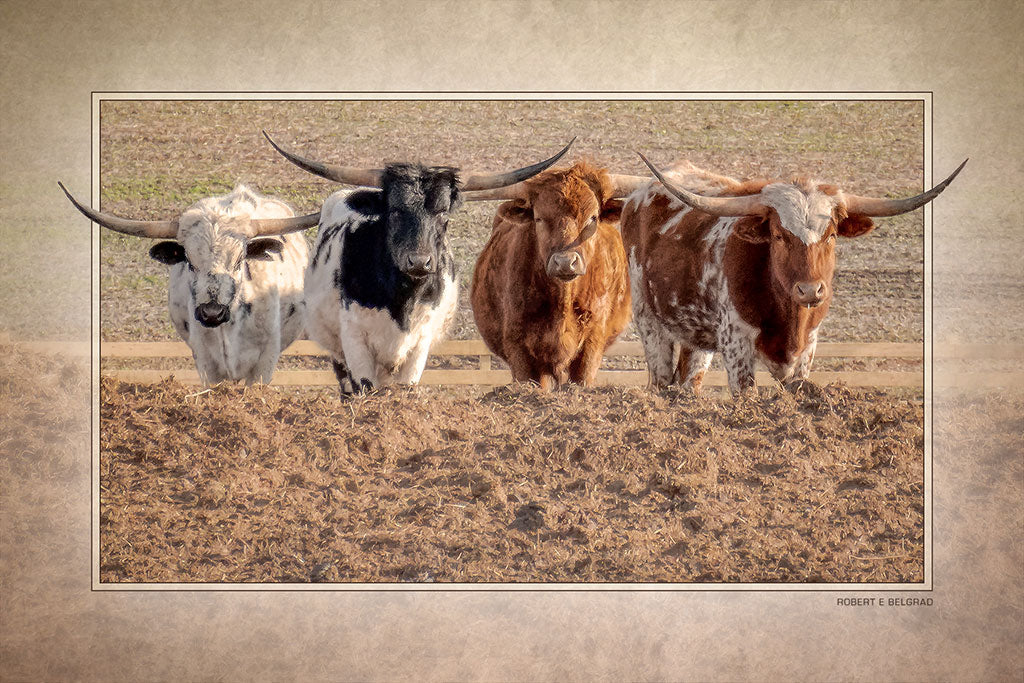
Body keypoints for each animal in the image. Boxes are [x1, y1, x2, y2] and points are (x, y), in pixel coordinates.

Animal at [263, 131, 573, 394]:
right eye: (395, 211)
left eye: (443, 213)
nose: (420, 262)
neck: (402, 299)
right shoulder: (355, 343)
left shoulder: (419, 344)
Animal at [620, 155, 966, 395]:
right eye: (778, 235)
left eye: (831, 235)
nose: (810, 291)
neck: (786, 314)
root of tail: (640, 193)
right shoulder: (736, 346)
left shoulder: (807, 350)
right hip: (649, 321)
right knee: (660, 381)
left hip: (695, 337)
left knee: (689, 382)